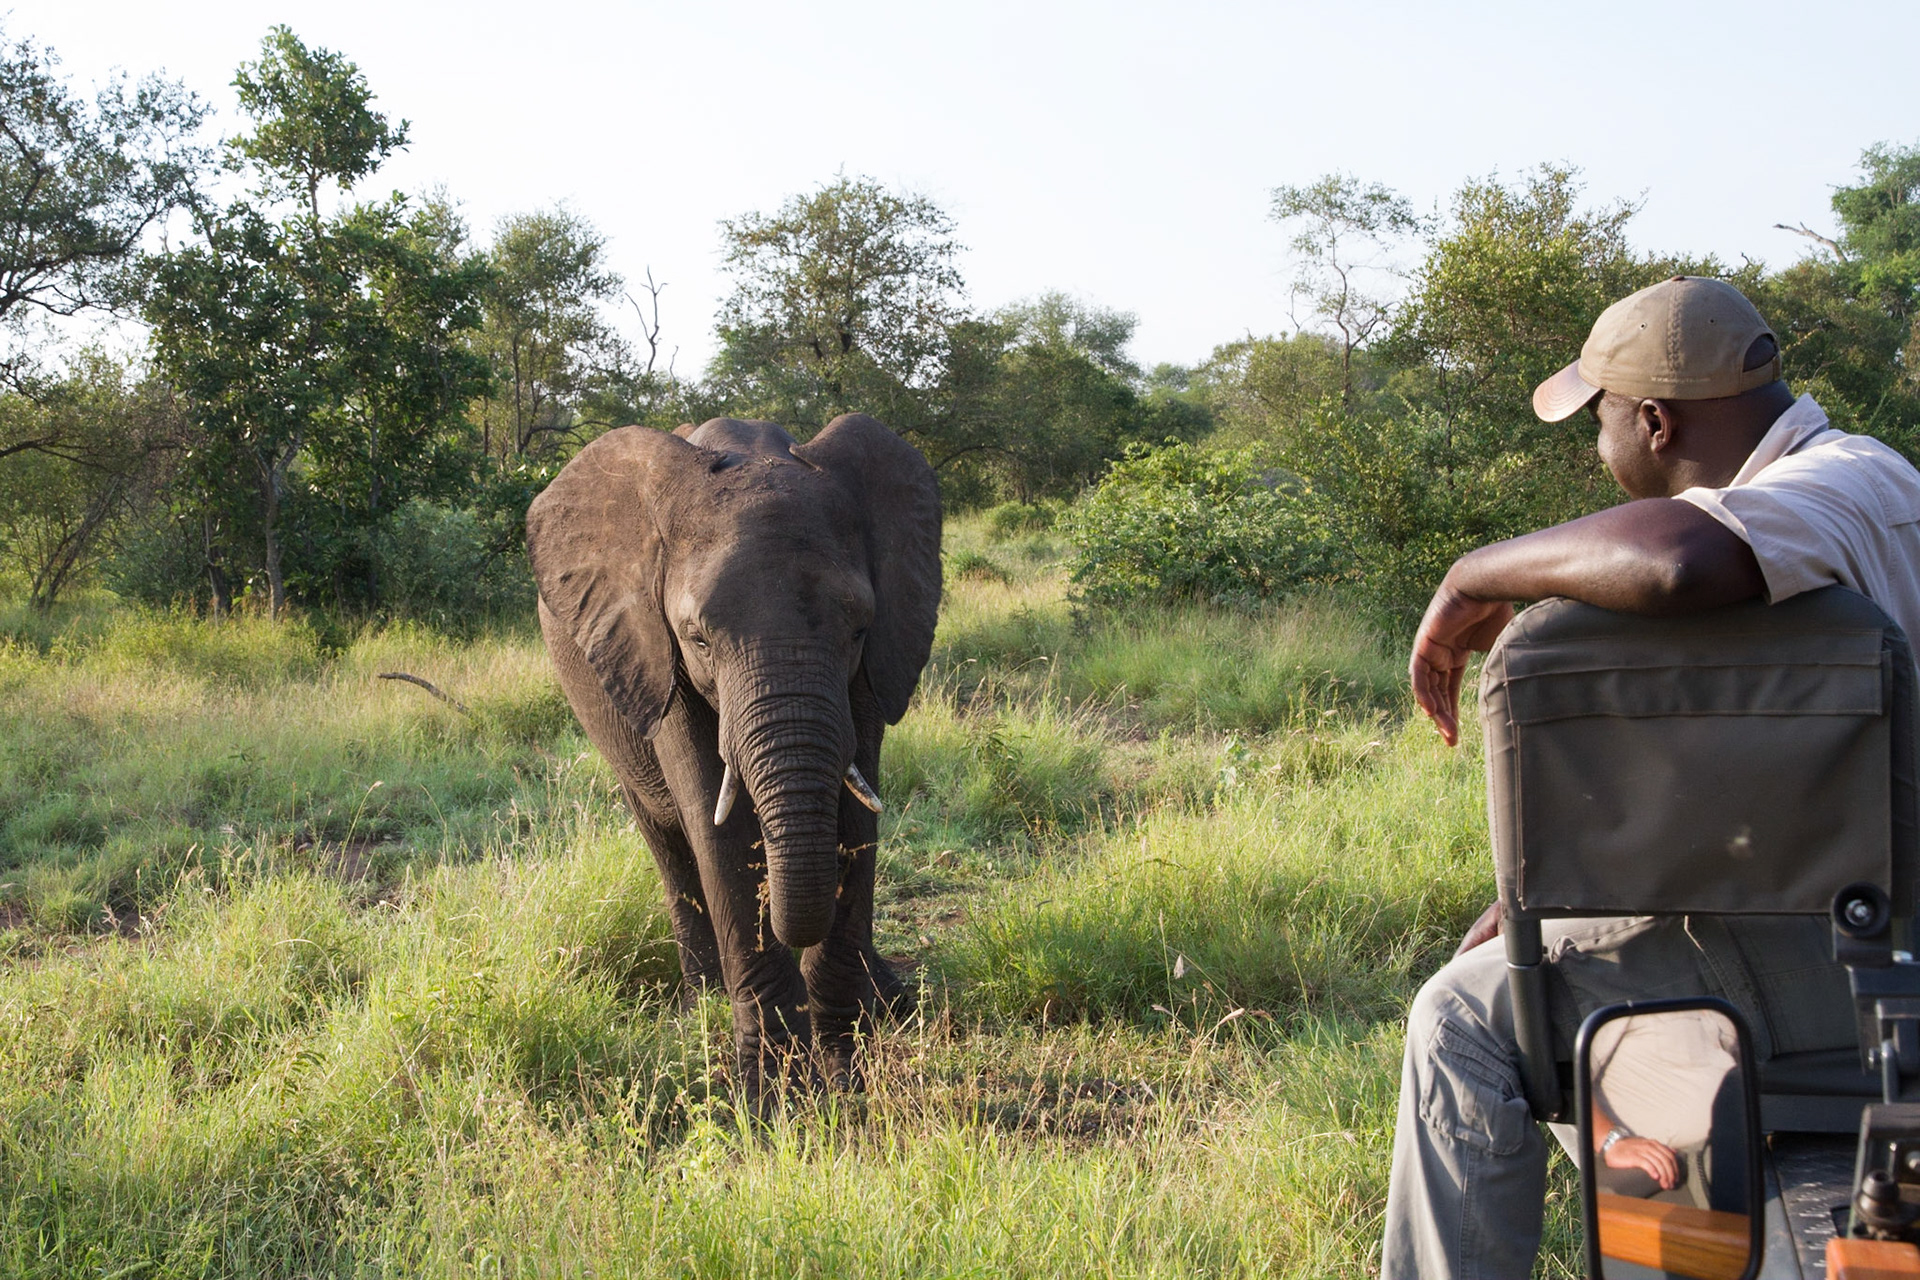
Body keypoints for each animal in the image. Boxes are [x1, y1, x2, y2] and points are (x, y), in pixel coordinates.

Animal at [525, 412, 941, 1094]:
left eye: (858, 628)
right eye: (697, 638)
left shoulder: (877, 658)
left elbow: (858, 813)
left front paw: (846, 1062)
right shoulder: (650, 648)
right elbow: (714, 824)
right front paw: (773, 1092)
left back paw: (889, 998)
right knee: (666, 840)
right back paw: (705, 1000)